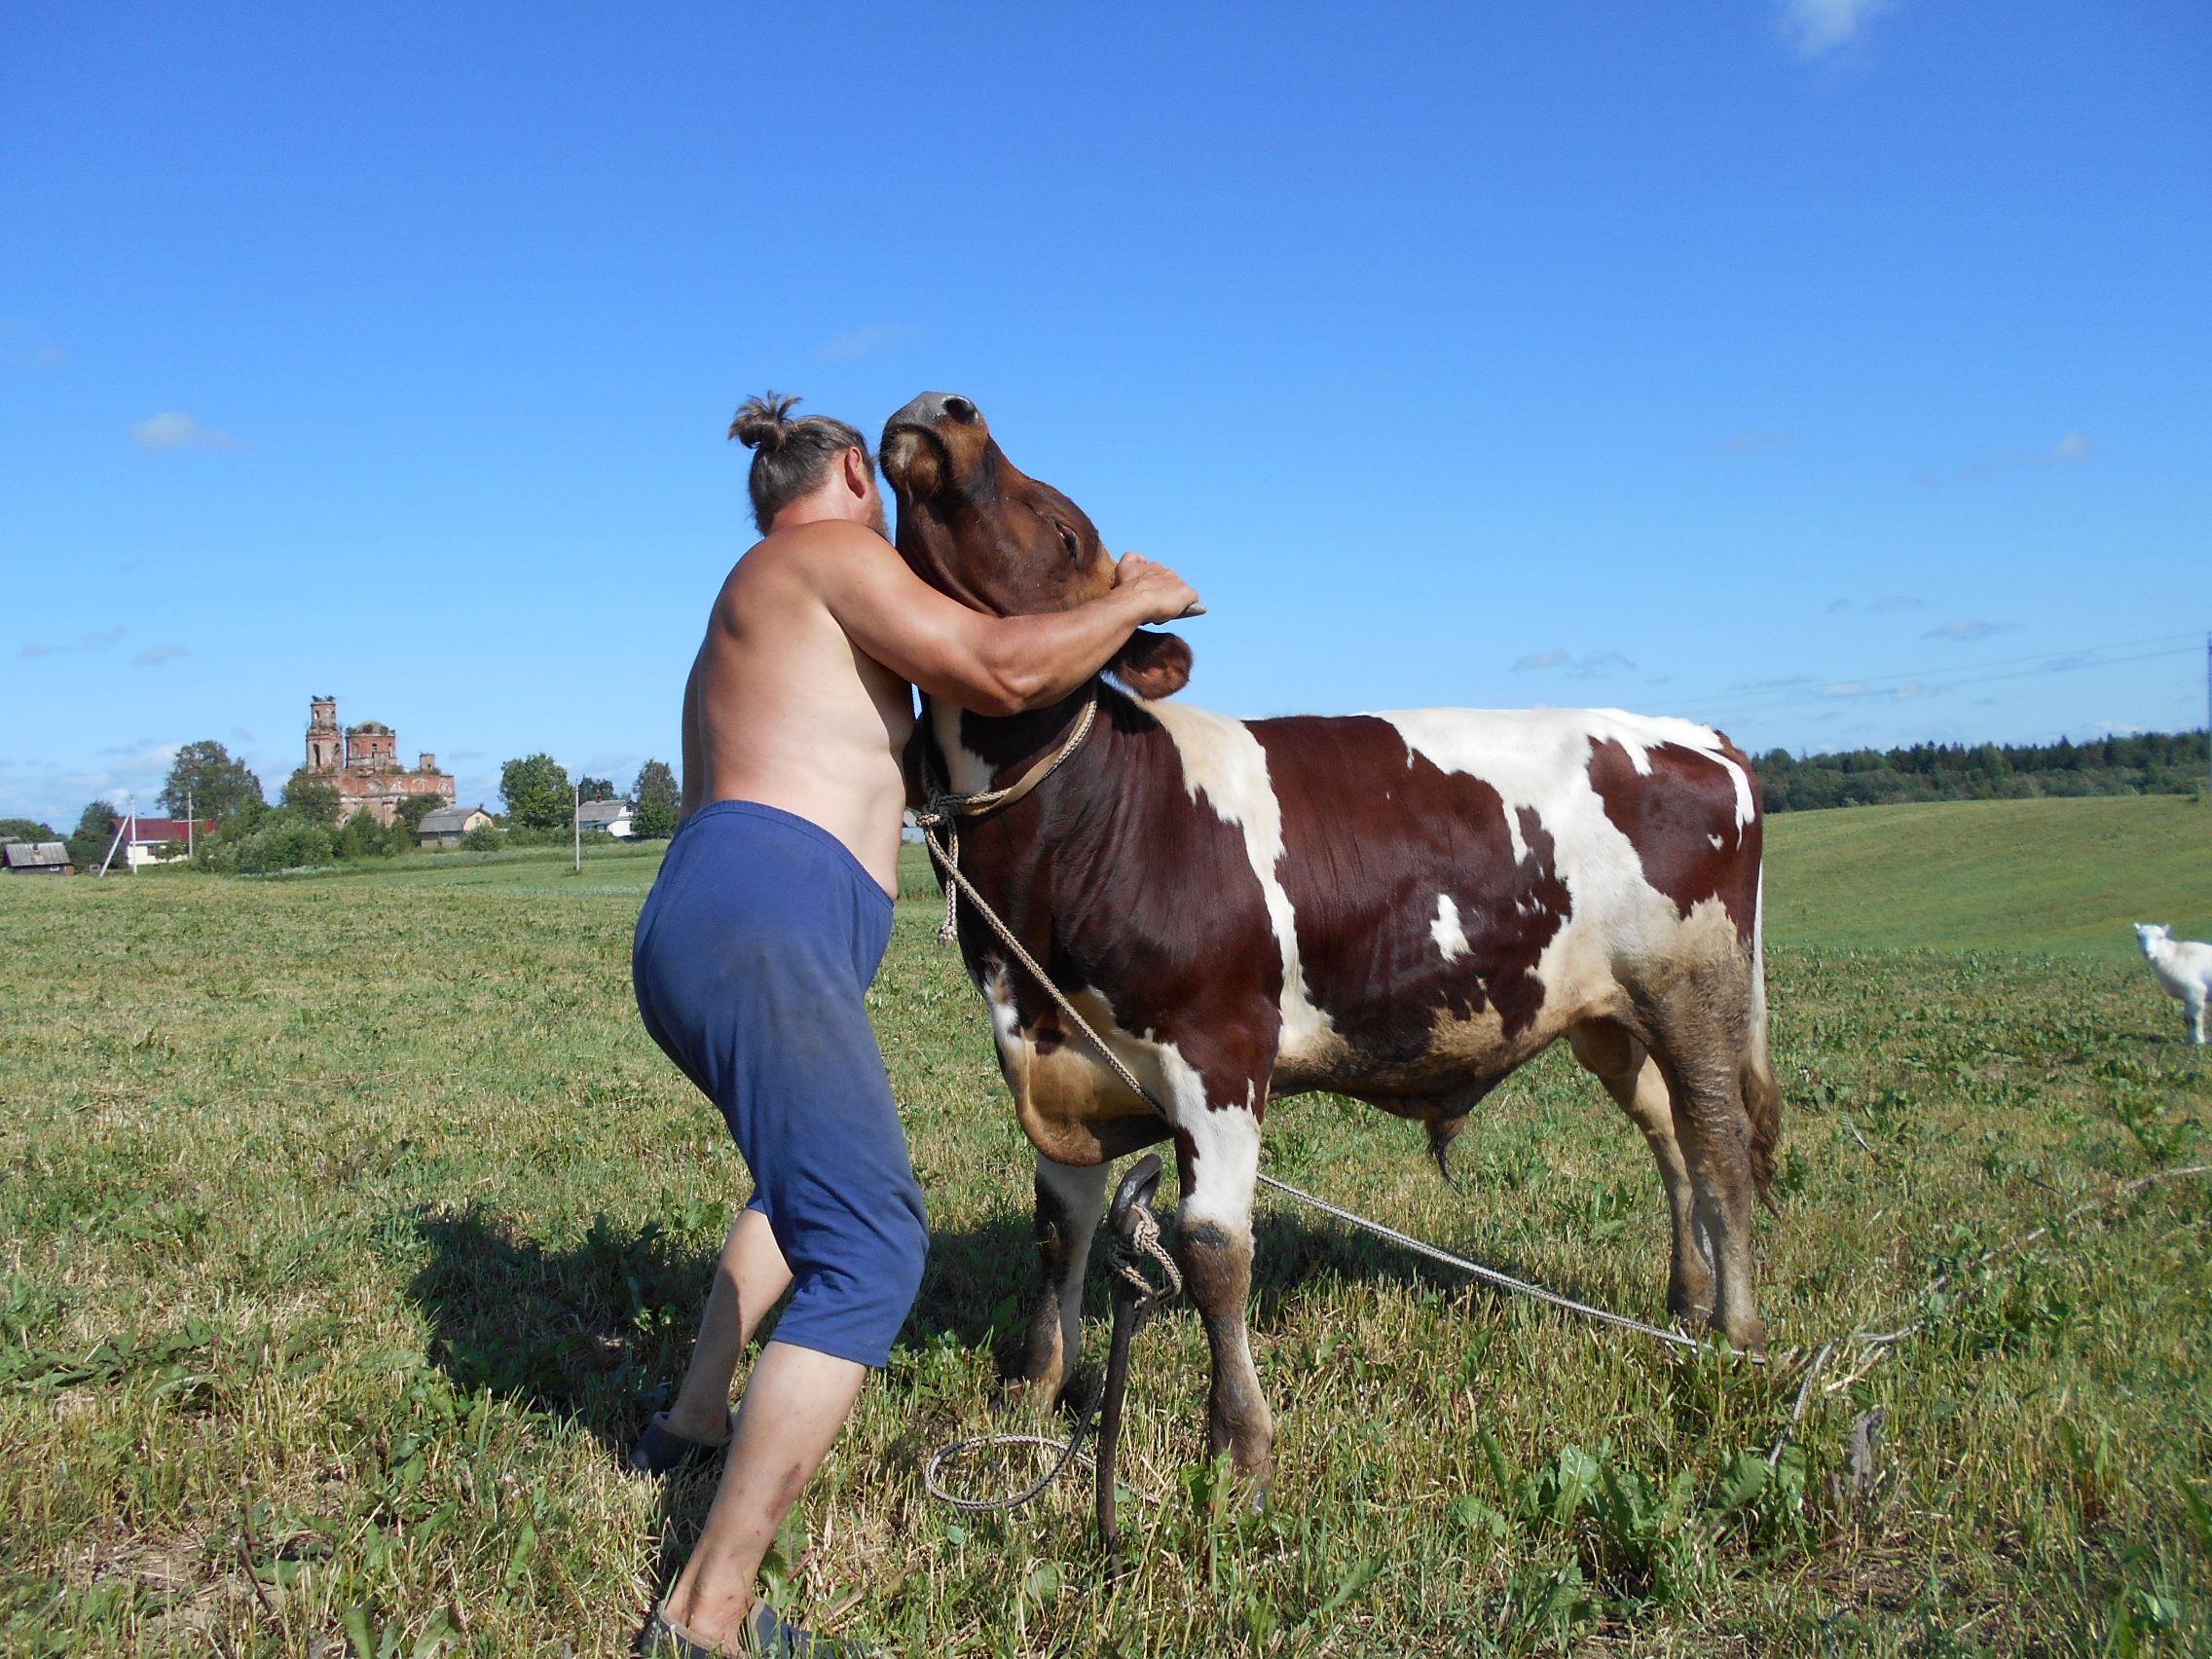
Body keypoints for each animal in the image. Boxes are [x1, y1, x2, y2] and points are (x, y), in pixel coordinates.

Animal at [880, 393, 1778, 1494]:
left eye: (1061, 529)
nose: (946, 407)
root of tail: (1694, 733)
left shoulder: (1219, 1051)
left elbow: (1212, 1248)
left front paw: (1238, 1446)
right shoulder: (1051, 1053)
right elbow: (1060, 1232)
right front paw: (1036, 1388)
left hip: (1697, 988)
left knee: (1719, 1143)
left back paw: (1736, 1333)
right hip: (1603, 1012)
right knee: (1666, 1133)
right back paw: (1685, 1302)